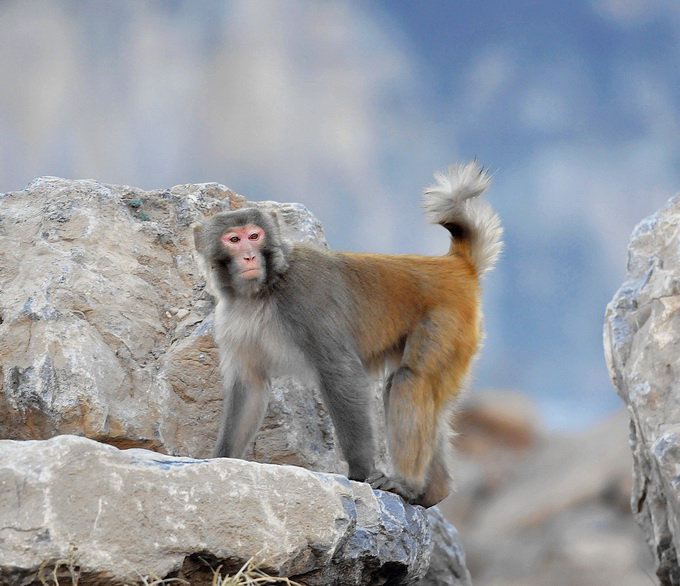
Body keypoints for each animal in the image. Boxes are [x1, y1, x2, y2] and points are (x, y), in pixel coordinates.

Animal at [191, 161, 500, 506]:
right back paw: (434, 491)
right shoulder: (232, 321)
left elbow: (340, 372)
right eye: (234, 239)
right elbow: (250, 385)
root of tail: (454, 266)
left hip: (449, 323)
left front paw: (361, 472)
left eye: (254, 236)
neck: (263, 290)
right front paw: (222, 458)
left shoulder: (305, 300)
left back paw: (407, 483)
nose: (248, 256)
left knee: (410, 380)